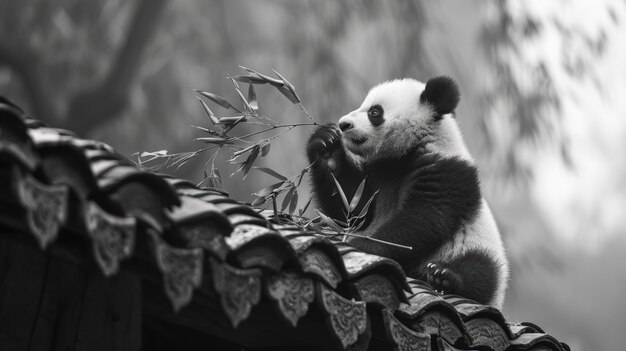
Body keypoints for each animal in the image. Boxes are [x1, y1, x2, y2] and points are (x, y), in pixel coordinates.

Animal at [306, 76, 508, 308]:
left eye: (375, 112)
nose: (343, 124)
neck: (407, 152)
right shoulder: (378, 174)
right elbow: (352, 208)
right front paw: (327, 147)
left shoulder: (447, 172)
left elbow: (422, 219)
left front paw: (361, 244)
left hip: (474, 248)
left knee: (481, 271)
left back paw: (445, 276)